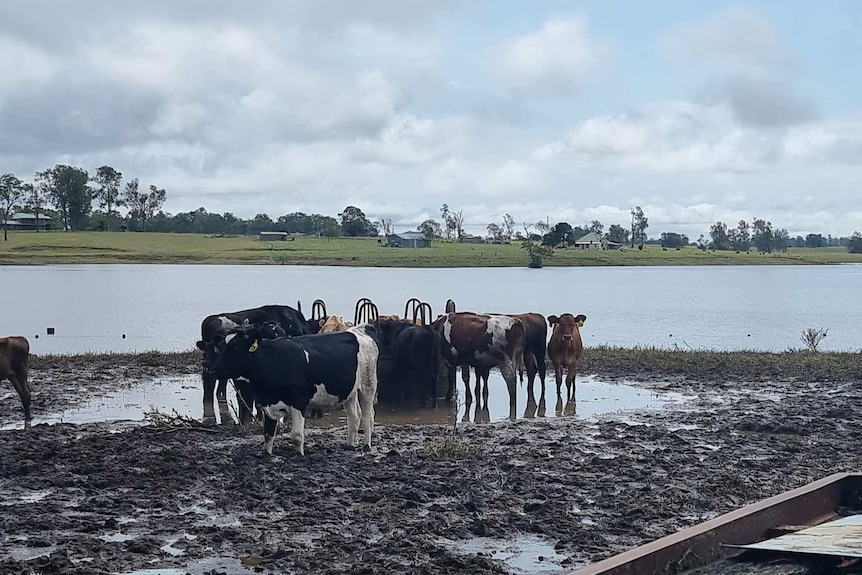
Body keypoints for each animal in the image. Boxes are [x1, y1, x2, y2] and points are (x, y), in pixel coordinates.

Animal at [212, 324, 378, 454]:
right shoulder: (266, 403)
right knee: (354, 416)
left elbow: (297, 436)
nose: (214, 370)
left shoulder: (299, 402)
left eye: (234, 348)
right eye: (220, 347)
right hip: (349, 391)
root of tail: (358, 330)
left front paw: (300, 455)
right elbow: (268, 435)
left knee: (367, 415)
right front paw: (268, 455)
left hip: (368, 385)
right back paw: (349, 445)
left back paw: (366, 446)